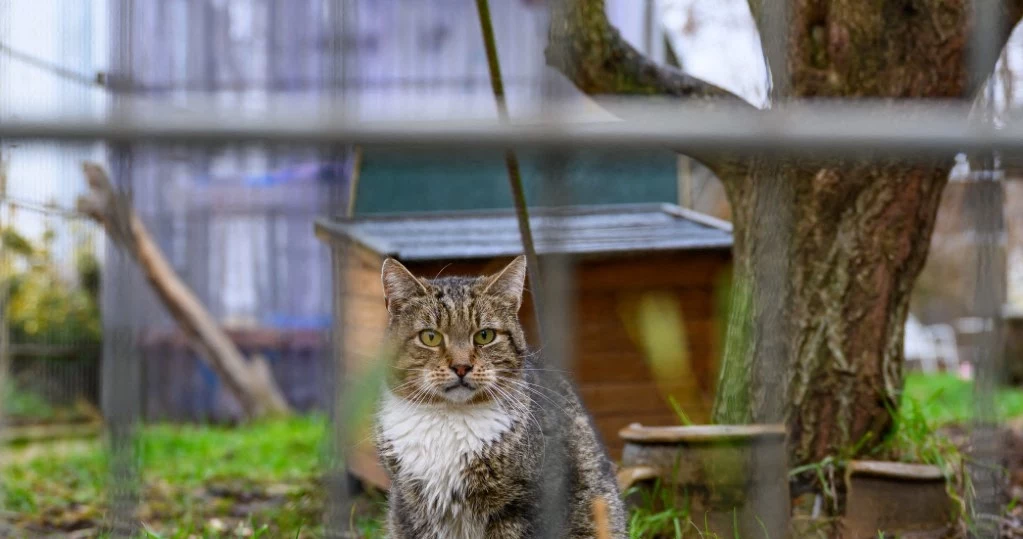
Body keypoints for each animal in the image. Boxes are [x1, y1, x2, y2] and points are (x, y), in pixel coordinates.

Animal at [376, 257, 626, 539]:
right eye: (431, 337)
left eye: (485, 335)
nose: (461, 367)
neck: (450, 417)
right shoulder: (410, 507)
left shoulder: (524, 505)